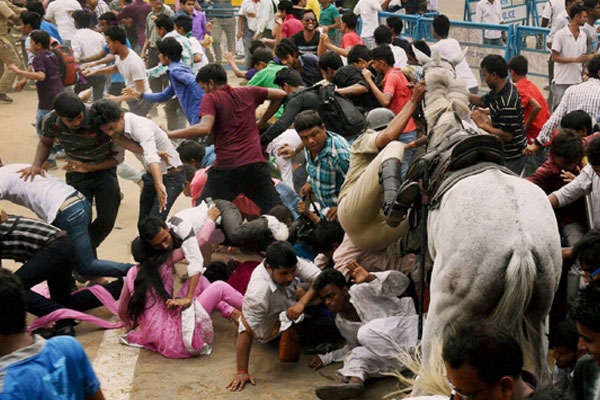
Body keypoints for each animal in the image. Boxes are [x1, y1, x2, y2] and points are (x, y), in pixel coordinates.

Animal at [412, 51, 564, 390]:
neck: (451, 134)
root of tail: (520, 246)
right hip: (538, 314)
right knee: (542, 372)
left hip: (442, 311)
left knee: (429, 364)